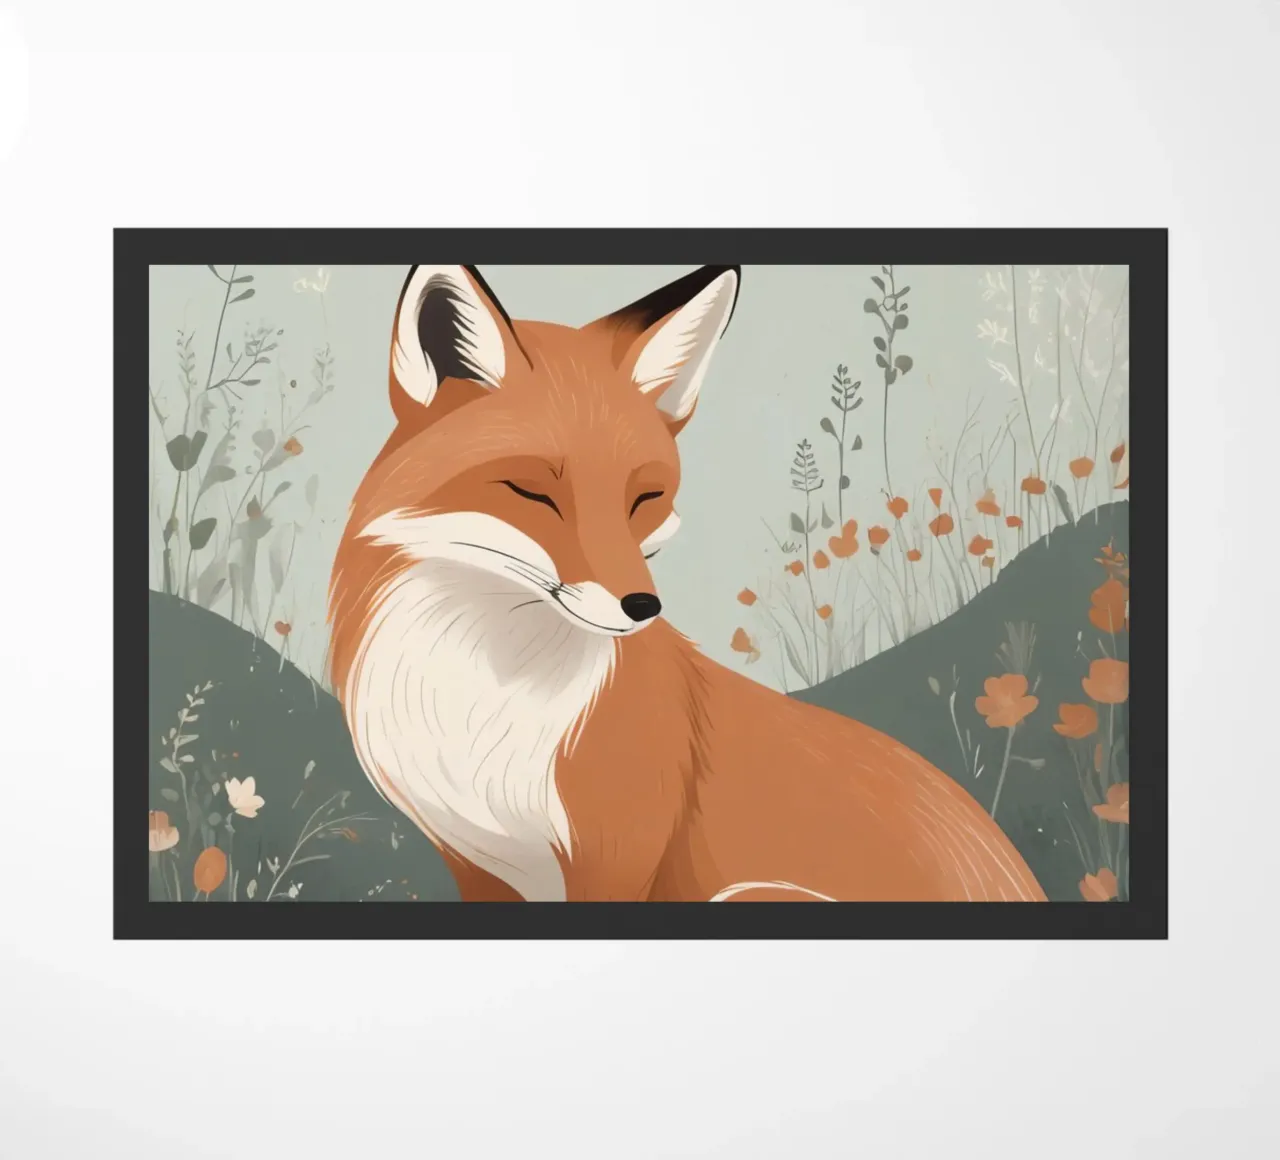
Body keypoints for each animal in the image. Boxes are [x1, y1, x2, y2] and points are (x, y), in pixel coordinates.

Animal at [327, 264, 1047, 903]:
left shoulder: (614, 859)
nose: (643, 605)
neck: (485, 700)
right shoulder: (479, 866)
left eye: (644, 497)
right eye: (533, 492)